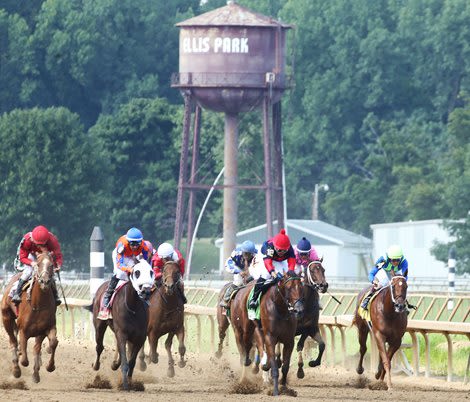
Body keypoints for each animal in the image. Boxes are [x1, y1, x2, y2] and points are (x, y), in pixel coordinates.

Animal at [0, 251, 58, 384]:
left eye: (51, 265)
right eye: (38, 264)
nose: (45, 281)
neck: (39, 305)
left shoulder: (46, 328)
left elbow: (52, 343)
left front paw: (49, 367)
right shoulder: (23, 330)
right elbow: (25, 360)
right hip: (6, 317)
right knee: (13, 341)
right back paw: (16, 370)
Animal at [87, 258, 154, 390]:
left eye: (151, 272)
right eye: (137, 272)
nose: (146, 290)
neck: (133, 307)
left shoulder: (139, 337)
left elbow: (131, 362)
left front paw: (131, 383)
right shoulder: (122, 333)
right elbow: (125, 362)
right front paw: (125, 385)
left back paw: (114, 364)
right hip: (99, 324)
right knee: (99, 346)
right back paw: (96, 365)